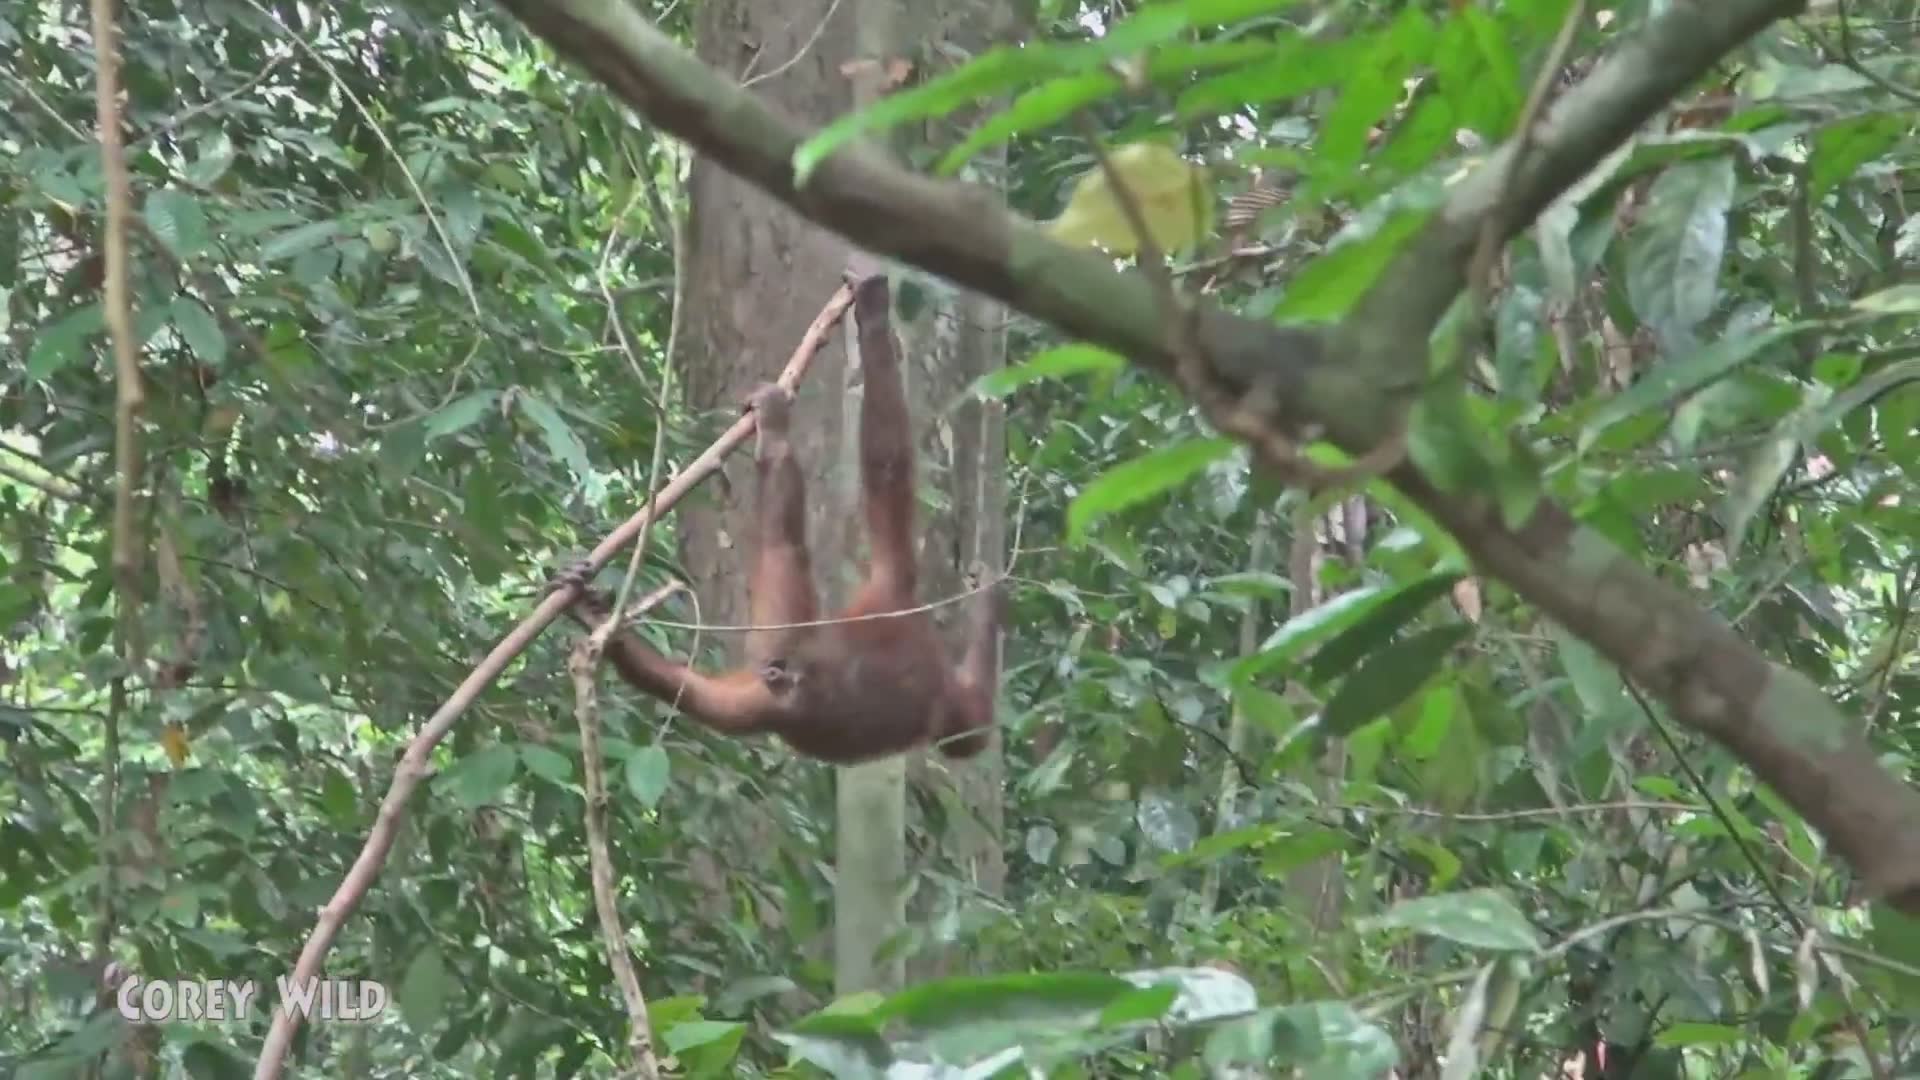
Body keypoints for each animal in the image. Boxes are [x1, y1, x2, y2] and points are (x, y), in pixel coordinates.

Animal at [552, 273, 1004, 766]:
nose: (777, 677)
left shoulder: (771, 700)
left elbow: (697, 696)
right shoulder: (894, 604)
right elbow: (888, 469)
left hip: (783, 630)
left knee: (781, 546)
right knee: (800, 534)